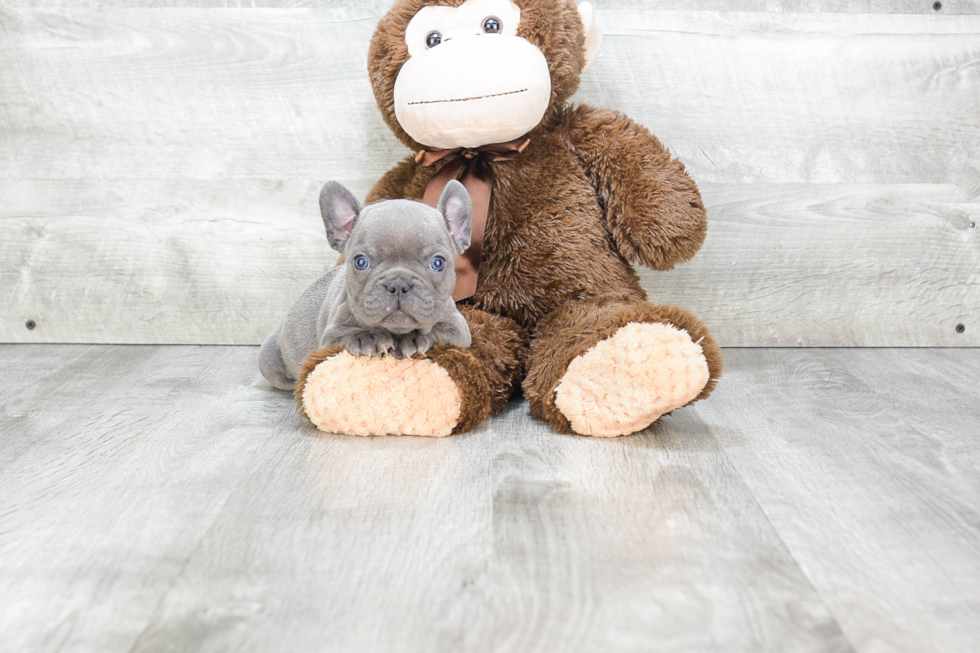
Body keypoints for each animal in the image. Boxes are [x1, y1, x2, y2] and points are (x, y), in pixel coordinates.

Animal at [258, 178, 472, 390]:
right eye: (361, 262)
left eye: (438, 263)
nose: (398, 284)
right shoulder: (330, 337)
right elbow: (346, 335)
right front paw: (367, 337)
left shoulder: (459, 329)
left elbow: (439, 330)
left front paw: (415, 338)